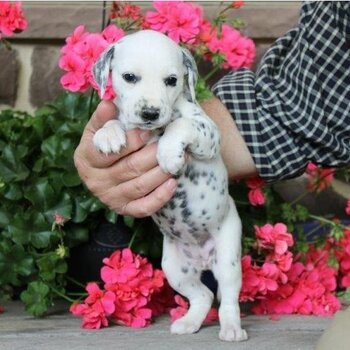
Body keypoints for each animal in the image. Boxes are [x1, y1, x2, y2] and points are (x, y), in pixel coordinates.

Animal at [92, 30, 246, 342]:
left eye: (172, 80)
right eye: (129, 77)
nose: (150, 113)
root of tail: (203, 260)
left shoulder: (208, 133)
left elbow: (181, 125)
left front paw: (168, 153)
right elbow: (115, 122)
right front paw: (108, 135)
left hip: (228, 258)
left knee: (227, 297)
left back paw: (231, 329)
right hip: (175, 269)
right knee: (203, 295)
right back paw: (188, 323)